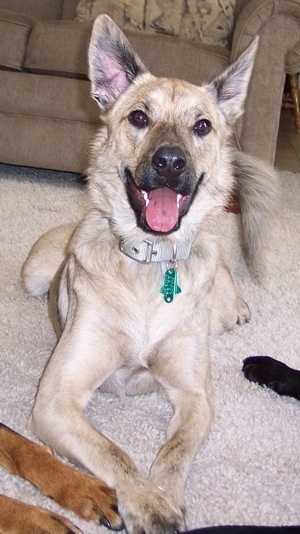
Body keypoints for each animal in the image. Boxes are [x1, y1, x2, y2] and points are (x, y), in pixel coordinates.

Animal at [21, 15, 278, 534]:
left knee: (224, 279)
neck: (151, 263)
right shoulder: (56, 400)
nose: (170, 162)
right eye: (139, 117)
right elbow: (114, 453)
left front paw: (165, 495)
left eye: (202, 126)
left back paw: (239, 304)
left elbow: (174, 453)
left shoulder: (195, 395)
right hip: (34, 274)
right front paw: (147, 502)